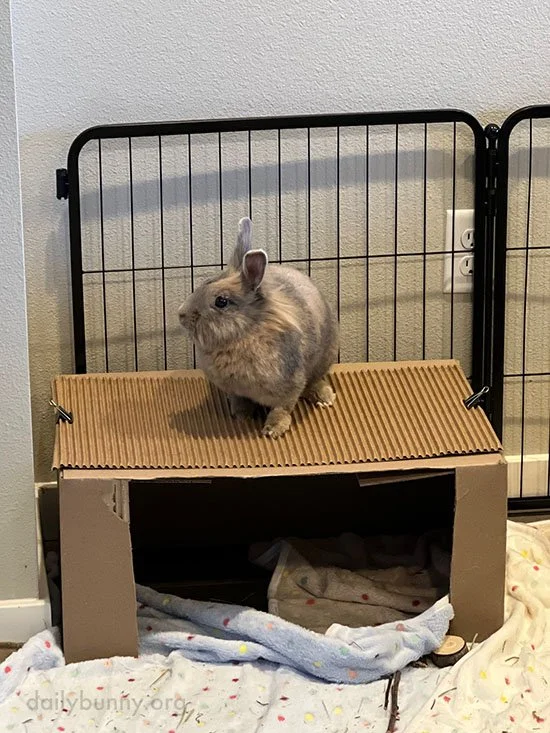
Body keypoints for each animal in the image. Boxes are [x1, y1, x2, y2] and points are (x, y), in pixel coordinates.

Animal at [178, 217, 339, 438]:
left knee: (316, 380)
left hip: (325, 358)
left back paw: (325, 398)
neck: (243, 335)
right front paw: (241, 416)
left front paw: (273, 430)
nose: (181, 315)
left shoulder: (290, 385)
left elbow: (282, 408)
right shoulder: (236, 391)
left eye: (221, 301)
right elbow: (240, 402)